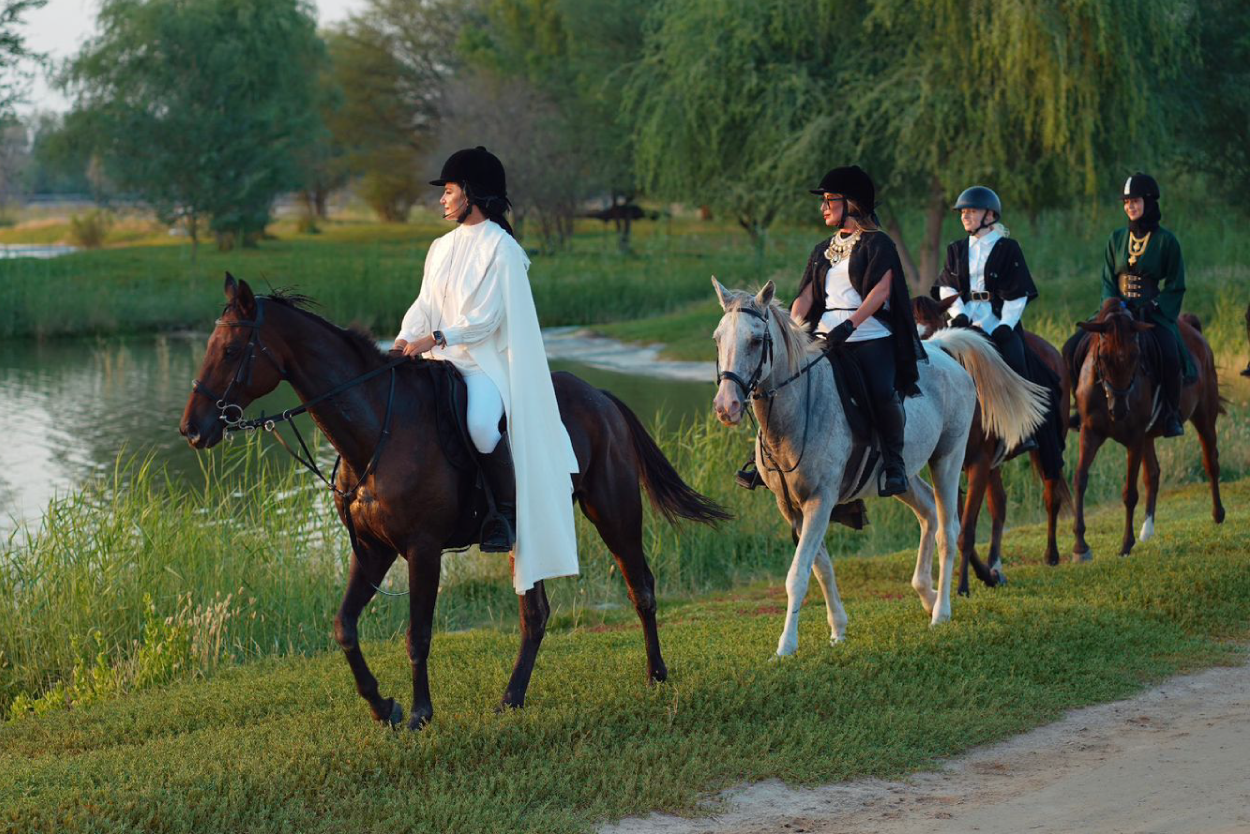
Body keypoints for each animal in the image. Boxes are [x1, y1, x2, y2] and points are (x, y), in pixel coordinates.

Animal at [180, 275, 730, 730]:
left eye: (231, 349)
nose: (192, 429)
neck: (380, 427)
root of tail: (599, 395)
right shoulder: (373, 551)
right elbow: (344, 627)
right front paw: (383, 707)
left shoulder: (422, 550)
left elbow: (417, 634)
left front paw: (420, 713)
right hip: (527, 535)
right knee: (537, 615)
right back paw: (511, 698)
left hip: (613, 513)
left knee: (642, 588)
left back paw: (656, 675)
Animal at [710, 282, 1050, 660]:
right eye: (718, 339)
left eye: (756, 340)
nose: (727, 406)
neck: (798, 410)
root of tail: (940, 348)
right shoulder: (792, 508)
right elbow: (821, 567)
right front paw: (838, 629)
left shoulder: (820, 501)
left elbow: (798, 574)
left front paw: (786, 646)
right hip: (901, 476)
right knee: (928, 512)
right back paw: (927, 594)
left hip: (948, 458)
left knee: (949, 530)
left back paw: (941, 611)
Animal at [910, 296, 1075, 590]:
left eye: (930, 334)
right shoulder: (955, 466)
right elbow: (959, 524)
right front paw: (985, 575)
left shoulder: (978, 462)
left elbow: (966, 530)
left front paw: (964, 586)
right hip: (994, 465)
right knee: (999, 504)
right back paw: (996, 565)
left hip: (1050, 444)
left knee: (1051, 495)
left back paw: (1054, 554)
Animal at [1070, 300, 1225, 560]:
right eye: (1103, 356)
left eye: (1136, 356)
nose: (1119, 409)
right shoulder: (1090, 433)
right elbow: (1080, 479)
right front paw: (1080, 546)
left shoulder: (1134, 438)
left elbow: (1130, 492)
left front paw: (1125, 544)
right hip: (1148, 436)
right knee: (1152, 474)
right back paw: (1147, 530)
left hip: (1204, 415)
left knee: (1210, 461)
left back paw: (1218, 513)